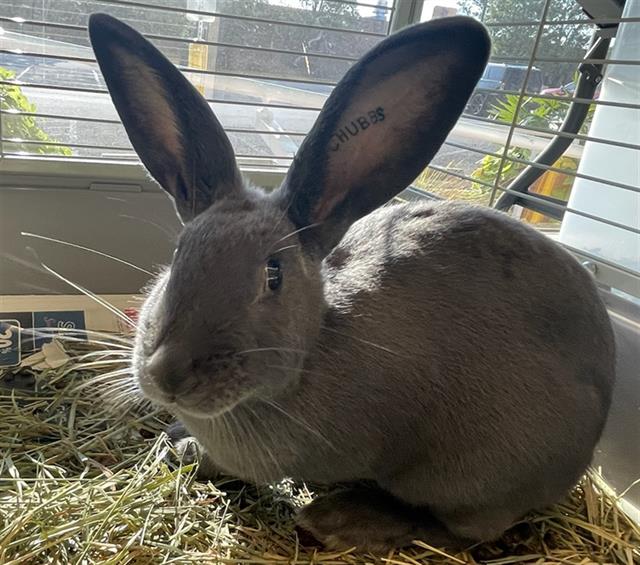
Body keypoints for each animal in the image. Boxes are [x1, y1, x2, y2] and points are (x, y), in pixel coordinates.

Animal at [89, 12, 616, 552]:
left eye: (273, 275)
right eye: (178, 253)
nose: (167, 373)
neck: (312, 350)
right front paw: (178, 444)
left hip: (475, 481)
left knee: (458, 532)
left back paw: (342, 518)